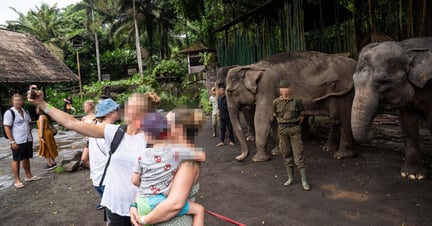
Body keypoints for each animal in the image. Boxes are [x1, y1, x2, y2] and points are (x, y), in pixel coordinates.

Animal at [224, 50, 356, 162]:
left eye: (230, 91)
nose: (238, 157)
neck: (253, 66)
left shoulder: (266, 87)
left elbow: (262, 118)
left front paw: (258, 159)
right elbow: (274, 119)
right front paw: (277, 152)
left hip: (343, 91)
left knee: (343, 119)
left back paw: (341, 155)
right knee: (336, 119)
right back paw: (329, 148)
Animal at [352, 36, 432, 179]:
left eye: (384, 81)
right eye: (353, 80)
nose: (373, 129)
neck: (407, 48)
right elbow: (407, 123)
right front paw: (411, 175)